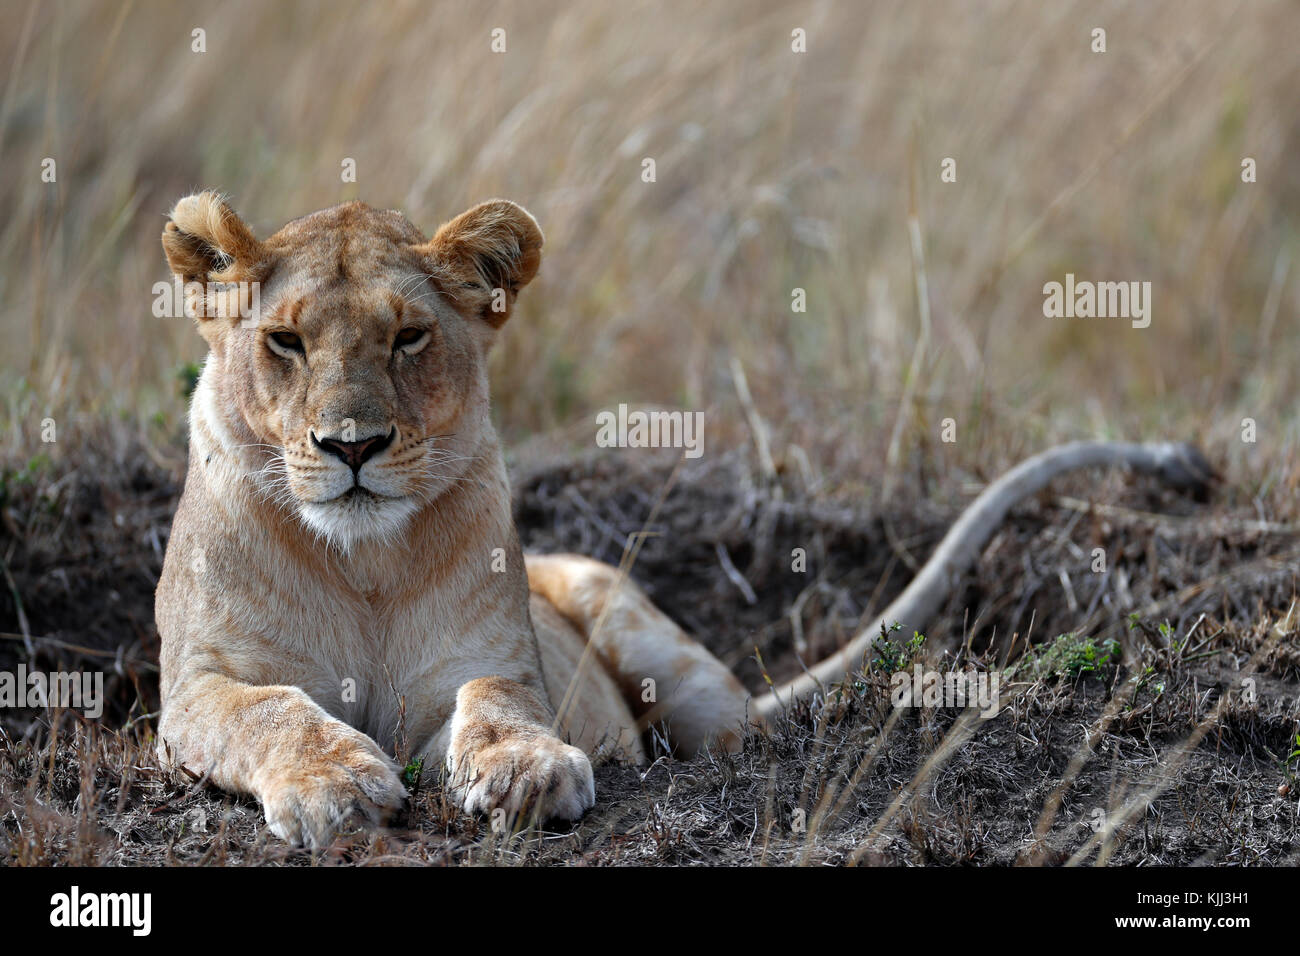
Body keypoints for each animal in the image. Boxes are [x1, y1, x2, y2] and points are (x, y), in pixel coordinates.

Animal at [154, 191, 1212, 848]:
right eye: (285, 341)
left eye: (409, 337)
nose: (353, 446)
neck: (362, 563)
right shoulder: (192, 693)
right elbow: (269, 708)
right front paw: (335, 785)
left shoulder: (487, 663)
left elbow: (497, 704)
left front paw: (527, 772)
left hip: (647, 637)